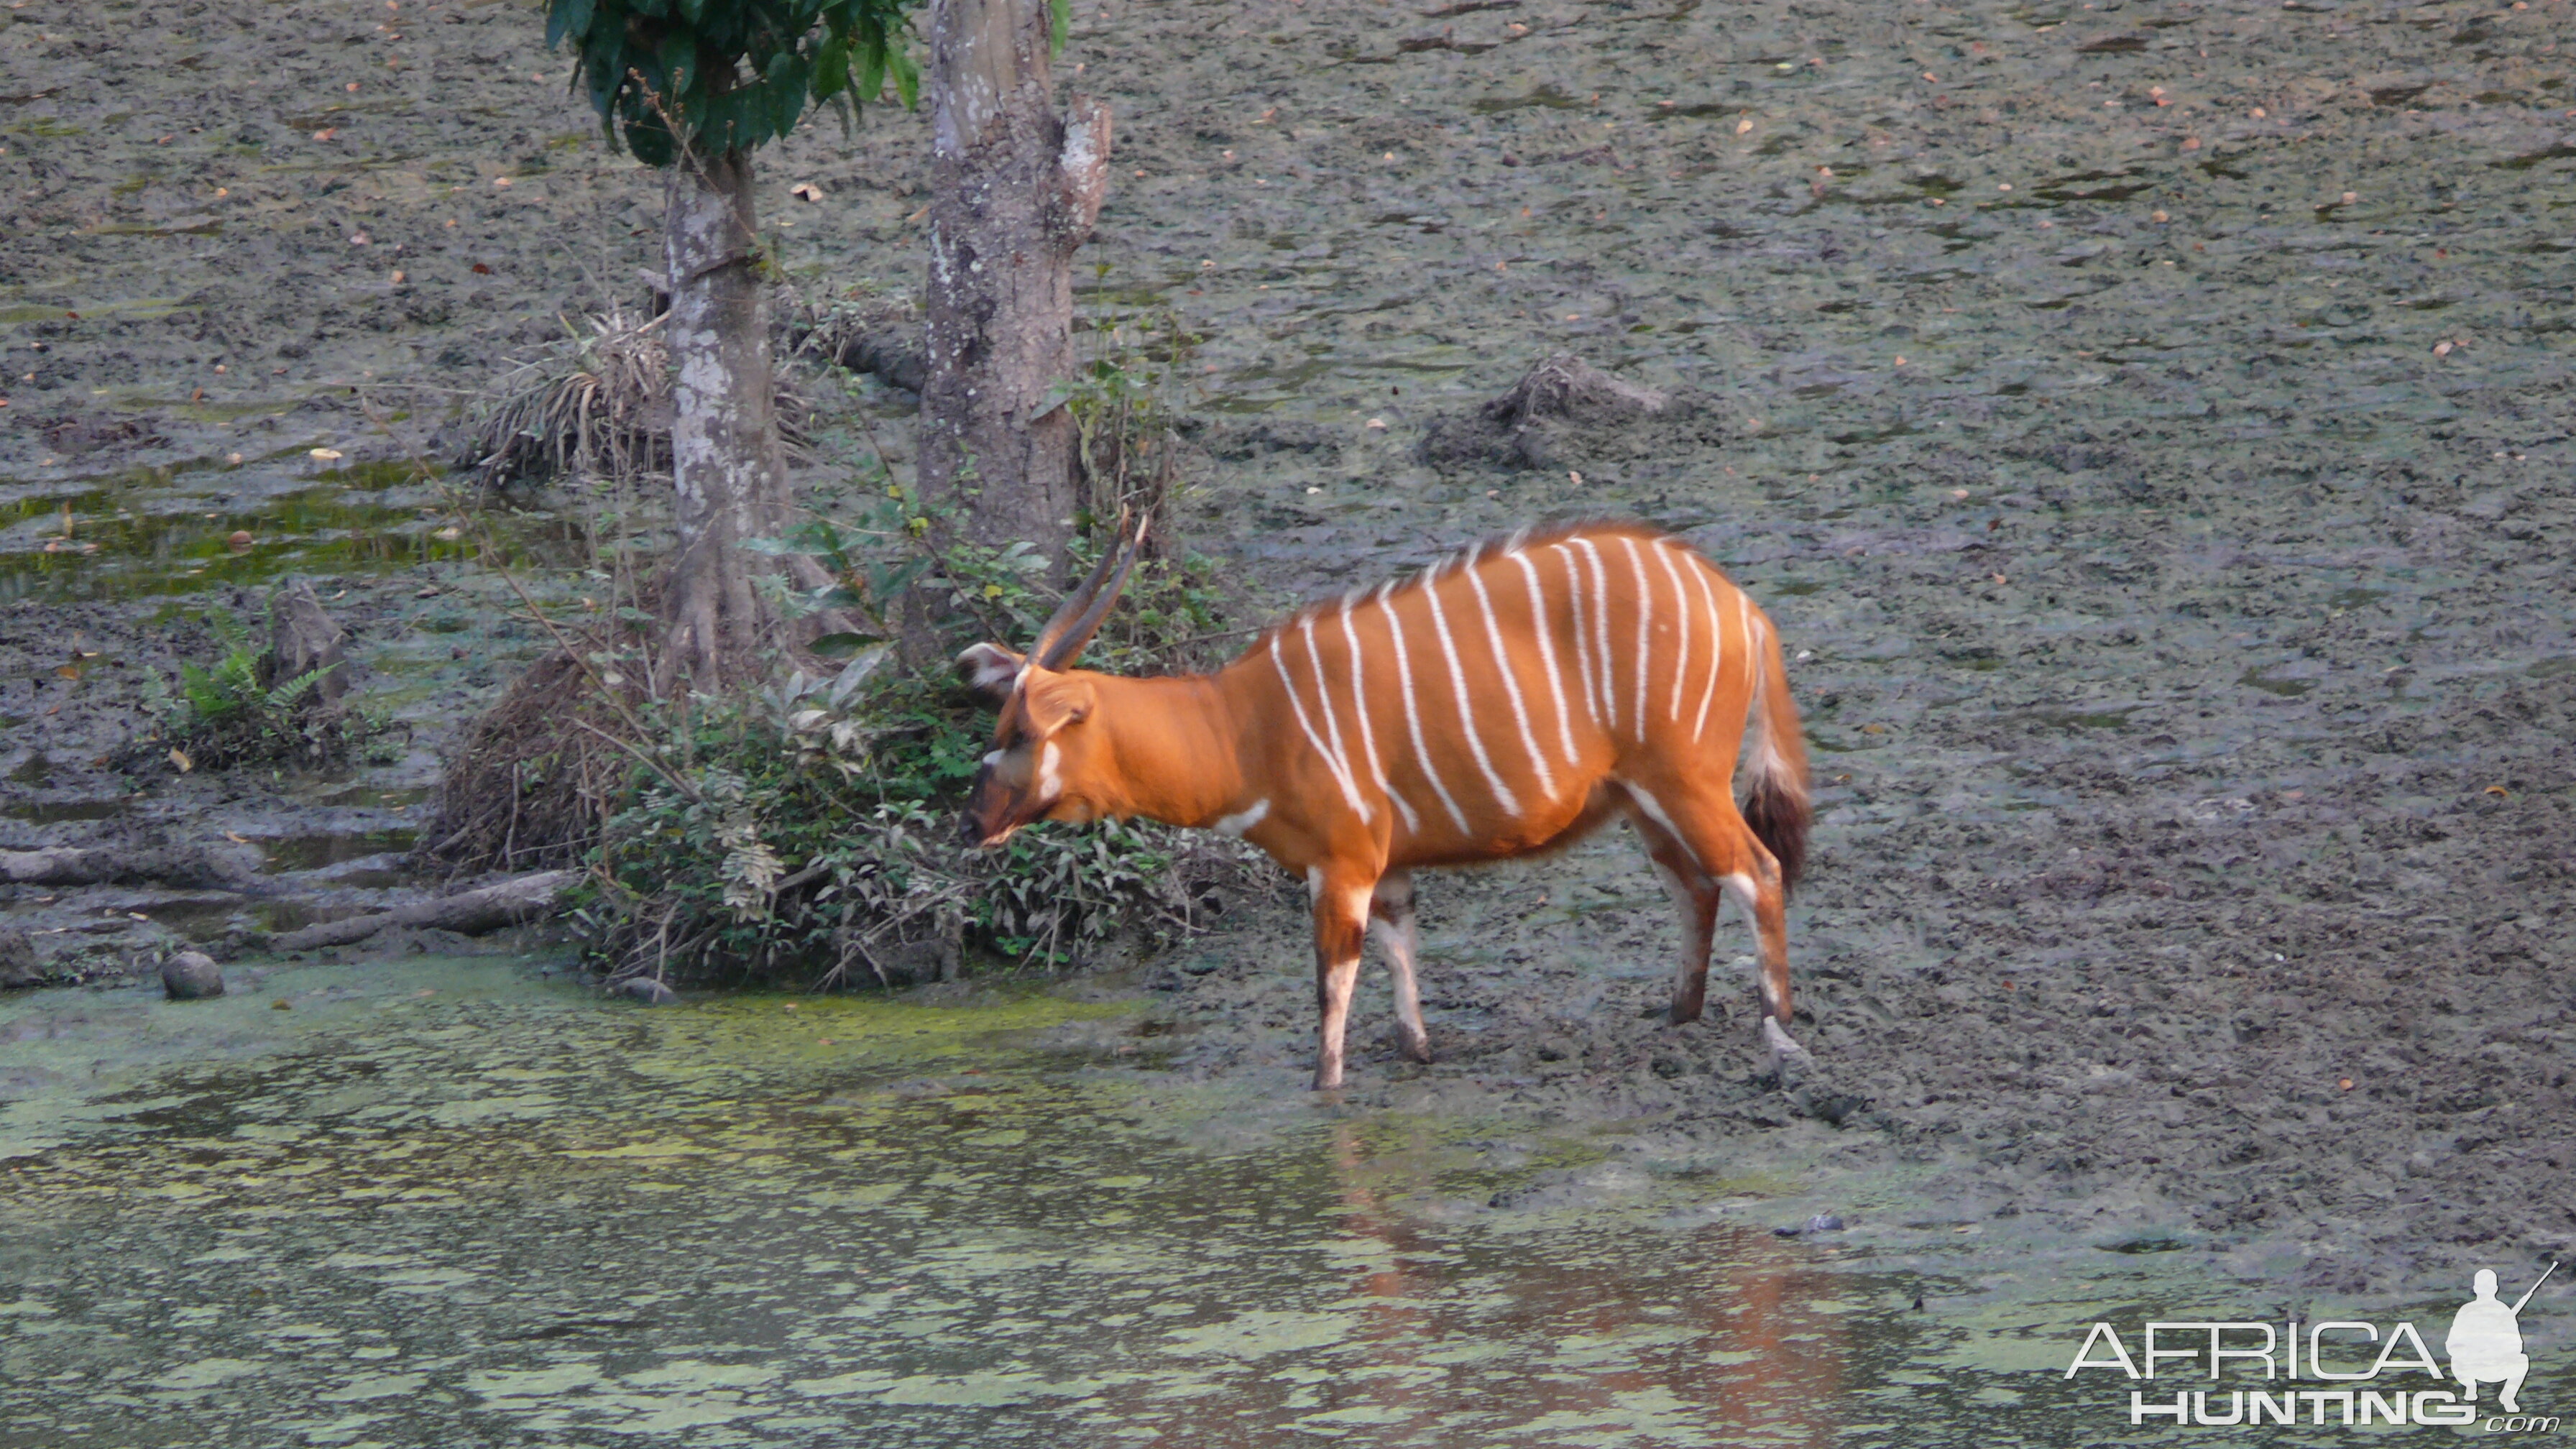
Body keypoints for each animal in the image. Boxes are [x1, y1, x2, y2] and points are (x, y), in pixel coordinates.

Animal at [968, 518, 1813, 1082]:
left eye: (1019, 732)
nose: (974, 821)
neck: (1241, 726)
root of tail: (1742, 607)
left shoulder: (1341, 863)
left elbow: (1329, 985)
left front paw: (1326, 1090)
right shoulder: (1389, 868)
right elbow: (1401, 957)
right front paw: (1418, 1052)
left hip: (1684, 782)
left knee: (1757, 872)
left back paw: (1777, 1027)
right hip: (1642, 801)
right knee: (1697, 887)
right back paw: (1678, 1017)